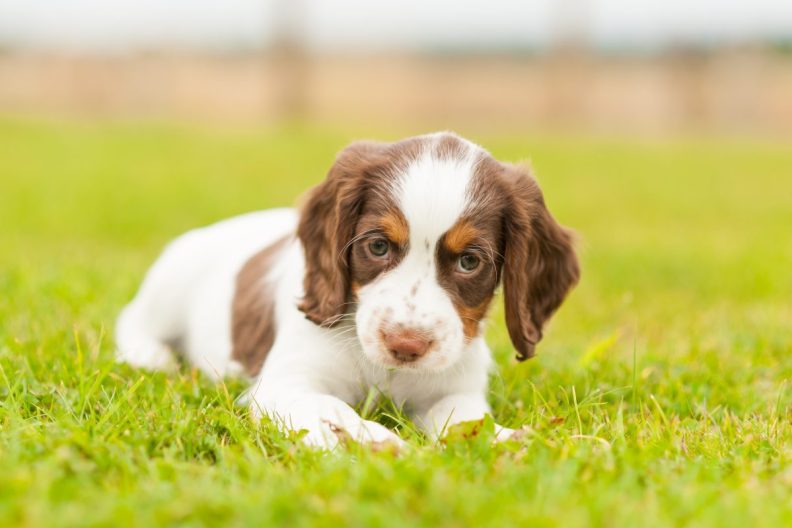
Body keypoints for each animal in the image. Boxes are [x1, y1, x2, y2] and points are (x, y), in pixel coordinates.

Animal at [114, 133, 580, 450]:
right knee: (131, 320)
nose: (406, 345)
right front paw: (364, 438)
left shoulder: (455, 389)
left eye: (469, 261)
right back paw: (150, 355)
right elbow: (328, 406)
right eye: (377, 246)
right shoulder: (283, 384)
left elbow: (464, 417)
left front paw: (507, 440)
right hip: (169, 286)